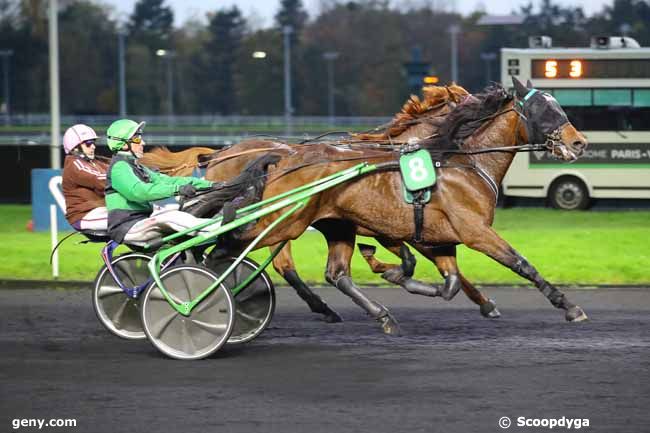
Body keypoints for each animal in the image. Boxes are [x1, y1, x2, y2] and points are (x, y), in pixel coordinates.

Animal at [197, 77, 588, 334]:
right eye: (543, 109)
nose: (579, 142)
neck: (464, 164)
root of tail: (283, 159)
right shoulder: (474, 232)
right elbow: (521, 264)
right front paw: (569, 306)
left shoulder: (437, 237)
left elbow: (449, 282)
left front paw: (397, 275)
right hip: (283, 223)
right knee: (230, 246)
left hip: (334, 225)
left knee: (336, 274)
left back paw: (377, 314)